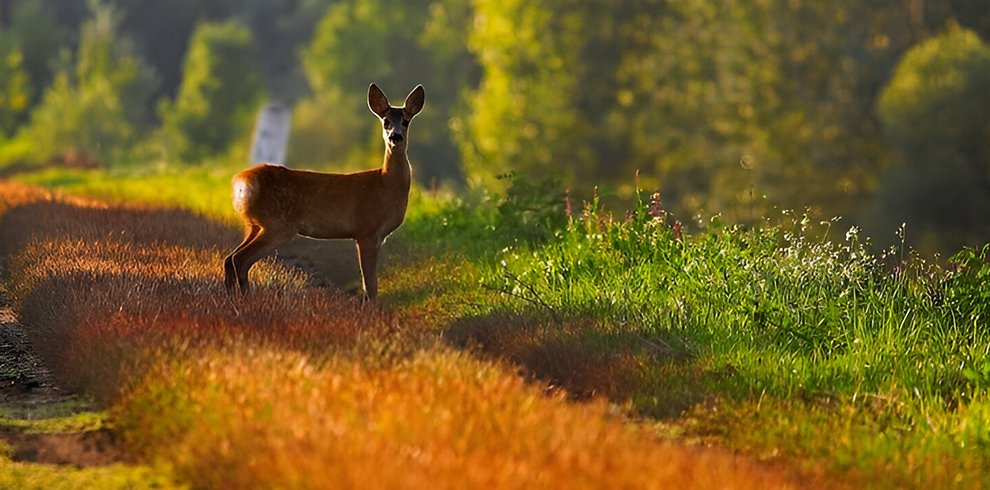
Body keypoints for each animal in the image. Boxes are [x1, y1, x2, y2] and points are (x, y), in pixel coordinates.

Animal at [223, 83, 424, 298]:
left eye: (405, 121)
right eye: (386, 122)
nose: (396, 136)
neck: (387, 185)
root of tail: (242, 181)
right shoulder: (367, 231)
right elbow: (370, 286)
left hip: (254, 224)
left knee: (230, 259)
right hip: (277, 225)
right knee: (240, 259)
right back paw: (245, 298)